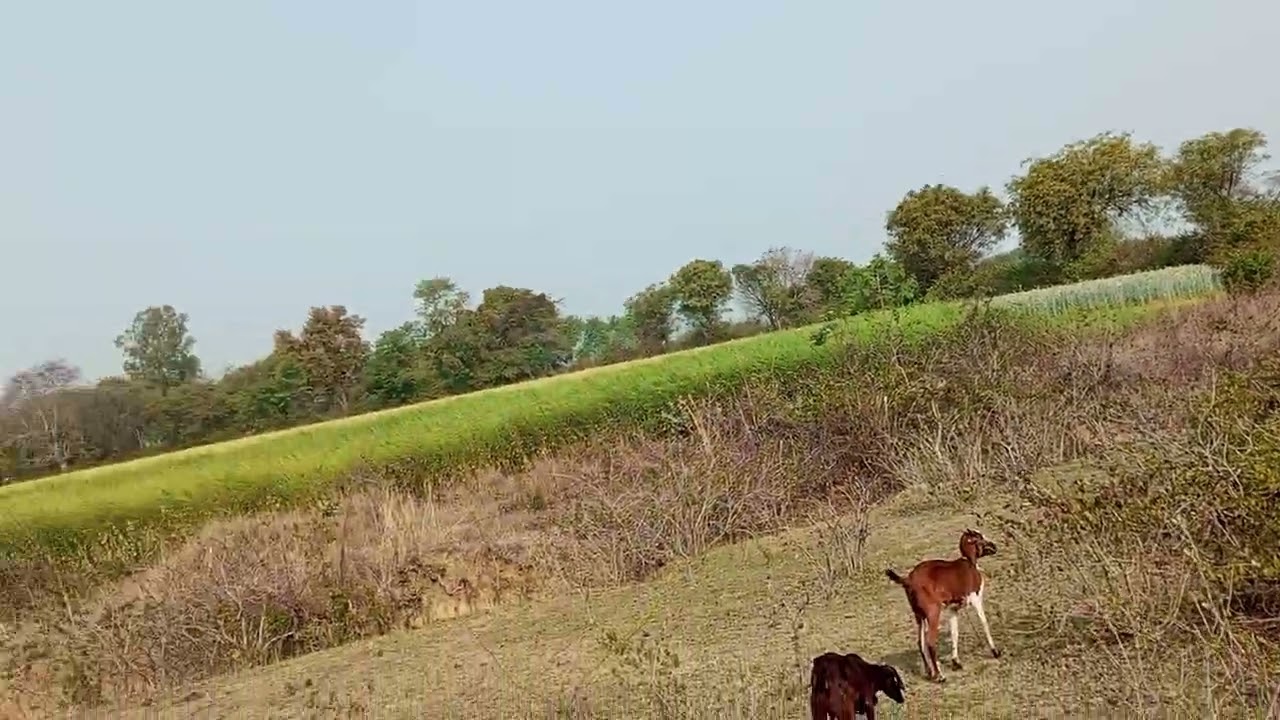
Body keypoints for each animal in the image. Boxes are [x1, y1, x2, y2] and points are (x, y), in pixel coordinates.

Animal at [884, 528, 1001, 683]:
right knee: (930, 641)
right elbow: (984, 623)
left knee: (920, 642)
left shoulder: (953, 609)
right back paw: (940, 676)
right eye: (979, 537)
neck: (969, 563)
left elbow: (954, 632)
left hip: (919, 615)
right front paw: (995, 651)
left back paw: (930, 673)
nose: (994, 546)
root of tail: (908, 580)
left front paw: (956, 662)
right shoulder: (976, 599)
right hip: (933, 612)